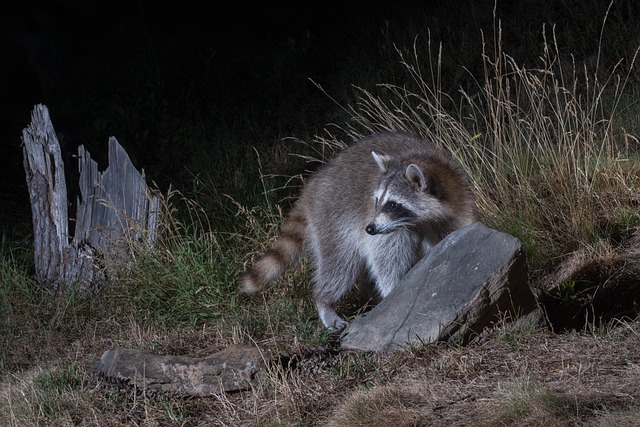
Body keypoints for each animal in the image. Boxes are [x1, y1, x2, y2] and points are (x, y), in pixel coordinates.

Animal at [240, 130, 476, 332]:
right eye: (377, 201)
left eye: (392, 205)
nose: (370, 228)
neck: (420, 221)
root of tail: (312, 187)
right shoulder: (389, 231)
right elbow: (385, 260)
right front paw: (394, 292)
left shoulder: (457, 207)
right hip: (333, 220)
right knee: (340, 266)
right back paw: (324, 300)